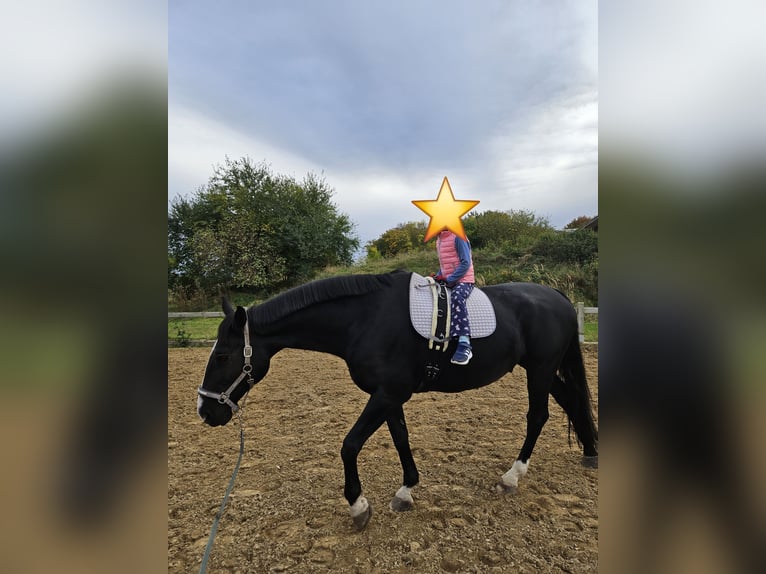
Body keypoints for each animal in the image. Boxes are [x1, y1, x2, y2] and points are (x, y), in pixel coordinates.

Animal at [197, 271, 598, 530]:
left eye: (222, 356)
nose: (205, 411)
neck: (365, 318)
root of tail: (558, 297)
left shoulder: (387, 393)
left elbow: (349, 445)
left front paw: (358, 506)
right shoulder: (389, 395)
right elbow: (401, 438)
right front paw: (406, 491)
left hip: (540, 370)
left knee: (538, 416)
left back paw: (512, 477)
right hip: (543, 370)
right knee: (570, 401)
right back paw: (590, 452)